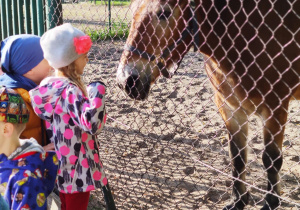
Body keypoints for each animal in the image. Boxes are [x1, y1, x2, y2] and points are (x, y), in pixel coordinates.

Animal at [116, 0, 300, 209]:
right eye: (132, 11)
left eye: (164, 13)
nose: (126, 81)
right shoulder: (230, 108)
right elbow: (237, 157)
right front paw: (238, 200)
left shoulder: (275, 108)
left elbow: (271, 159)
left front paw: (271, 202)